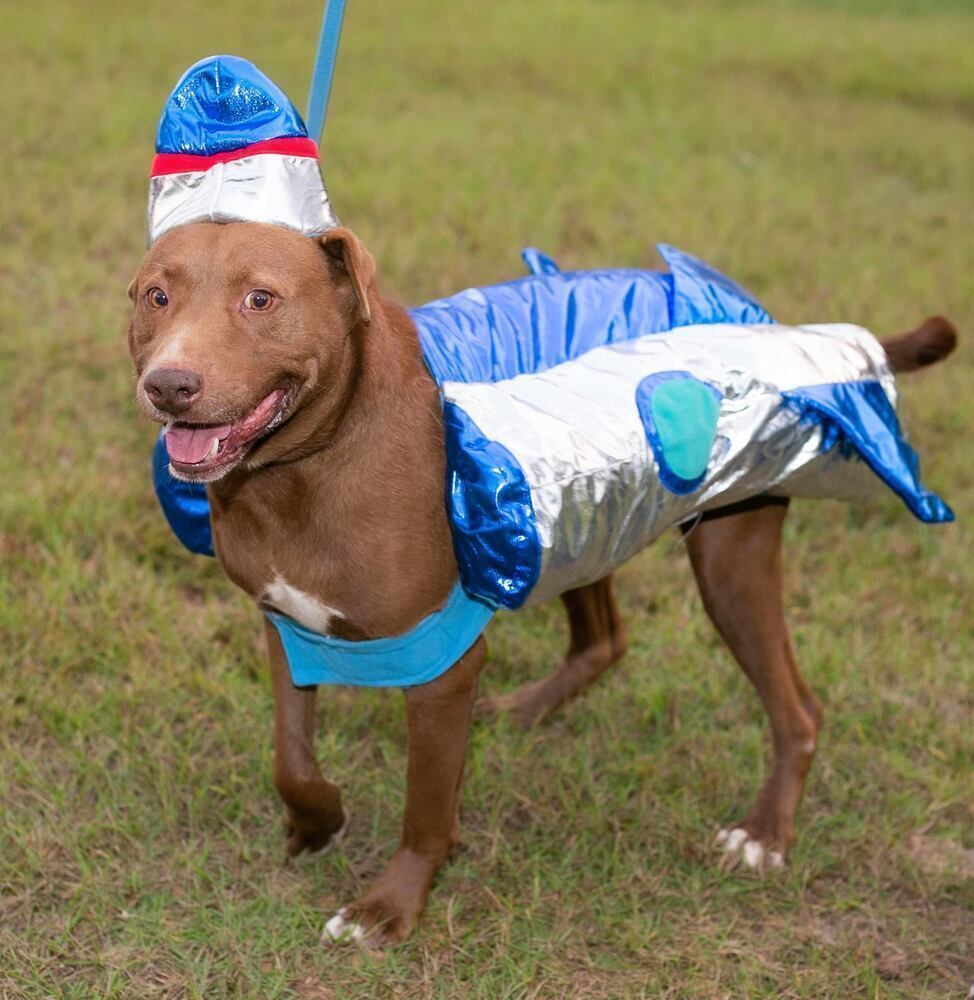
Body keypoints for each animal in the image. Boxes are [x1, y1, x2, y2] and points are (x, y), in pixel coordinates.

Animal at [130, 219, 960, 944]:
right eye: (155, 295)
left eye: (261, 299)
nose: (171, 384)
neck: (300, 470)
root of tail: (780, 332)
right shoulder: (286, 623)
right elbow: (291, 756)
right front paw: (319, 820)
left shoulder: (438, 662)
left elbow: (425, 808)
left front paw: (388, 910)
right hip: (580, 513)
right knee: (606, 638)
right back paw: (528, 711)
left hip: (725, 551)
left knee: (799, 709)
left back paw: (763, 835)